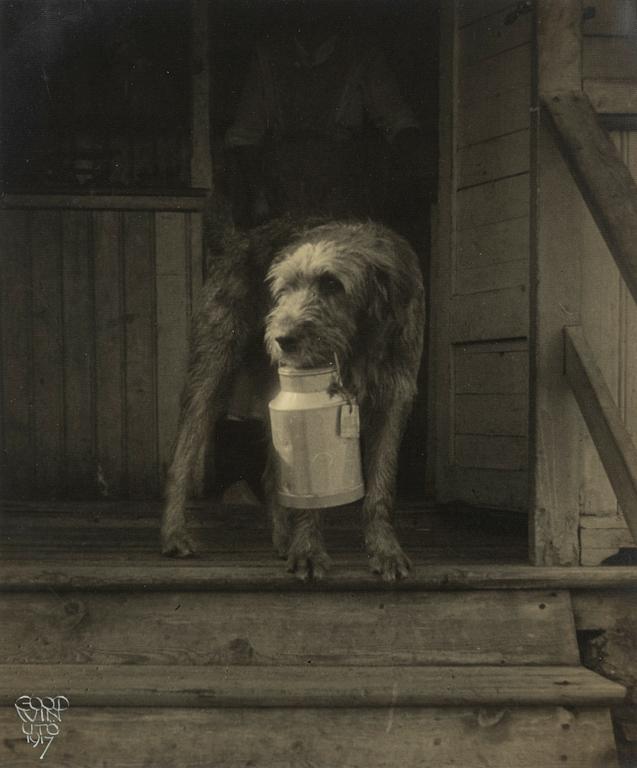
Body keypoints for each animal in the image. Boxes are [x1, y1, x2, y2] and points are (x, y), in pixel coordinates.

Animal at [161, 210, 424, 584]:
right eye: (282, 289)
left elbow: (381, 484)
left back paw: (284, 539)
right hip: (211, 370)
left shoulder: (394, 397)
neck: (358, 339)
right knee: (182, 455)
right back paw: (174, 533)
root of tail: (239, 238)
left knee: (272, 476)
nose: (282, 339)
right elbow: (307, 492)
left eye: (332, 284)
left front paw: (385, 549)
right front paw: (309, 550)